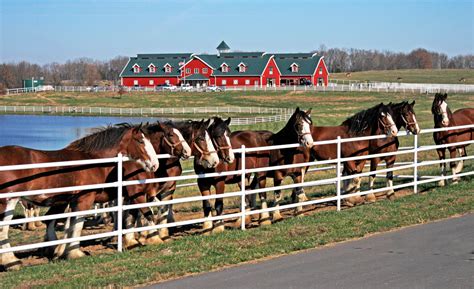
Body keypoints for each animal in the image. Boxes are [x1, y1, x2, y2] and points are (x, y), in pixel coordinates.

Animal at [0, 122, 159, 268]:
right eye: (140, 141)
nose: (155, 164)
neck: (92, 161)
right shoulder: (85, 199)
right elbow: (77, 225)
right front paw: (75, 253)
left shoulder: (73, 200)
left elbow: (70, 225)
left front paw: (64, 252)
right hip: (9, 201)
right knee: (3, 228)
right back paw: (11, 261)